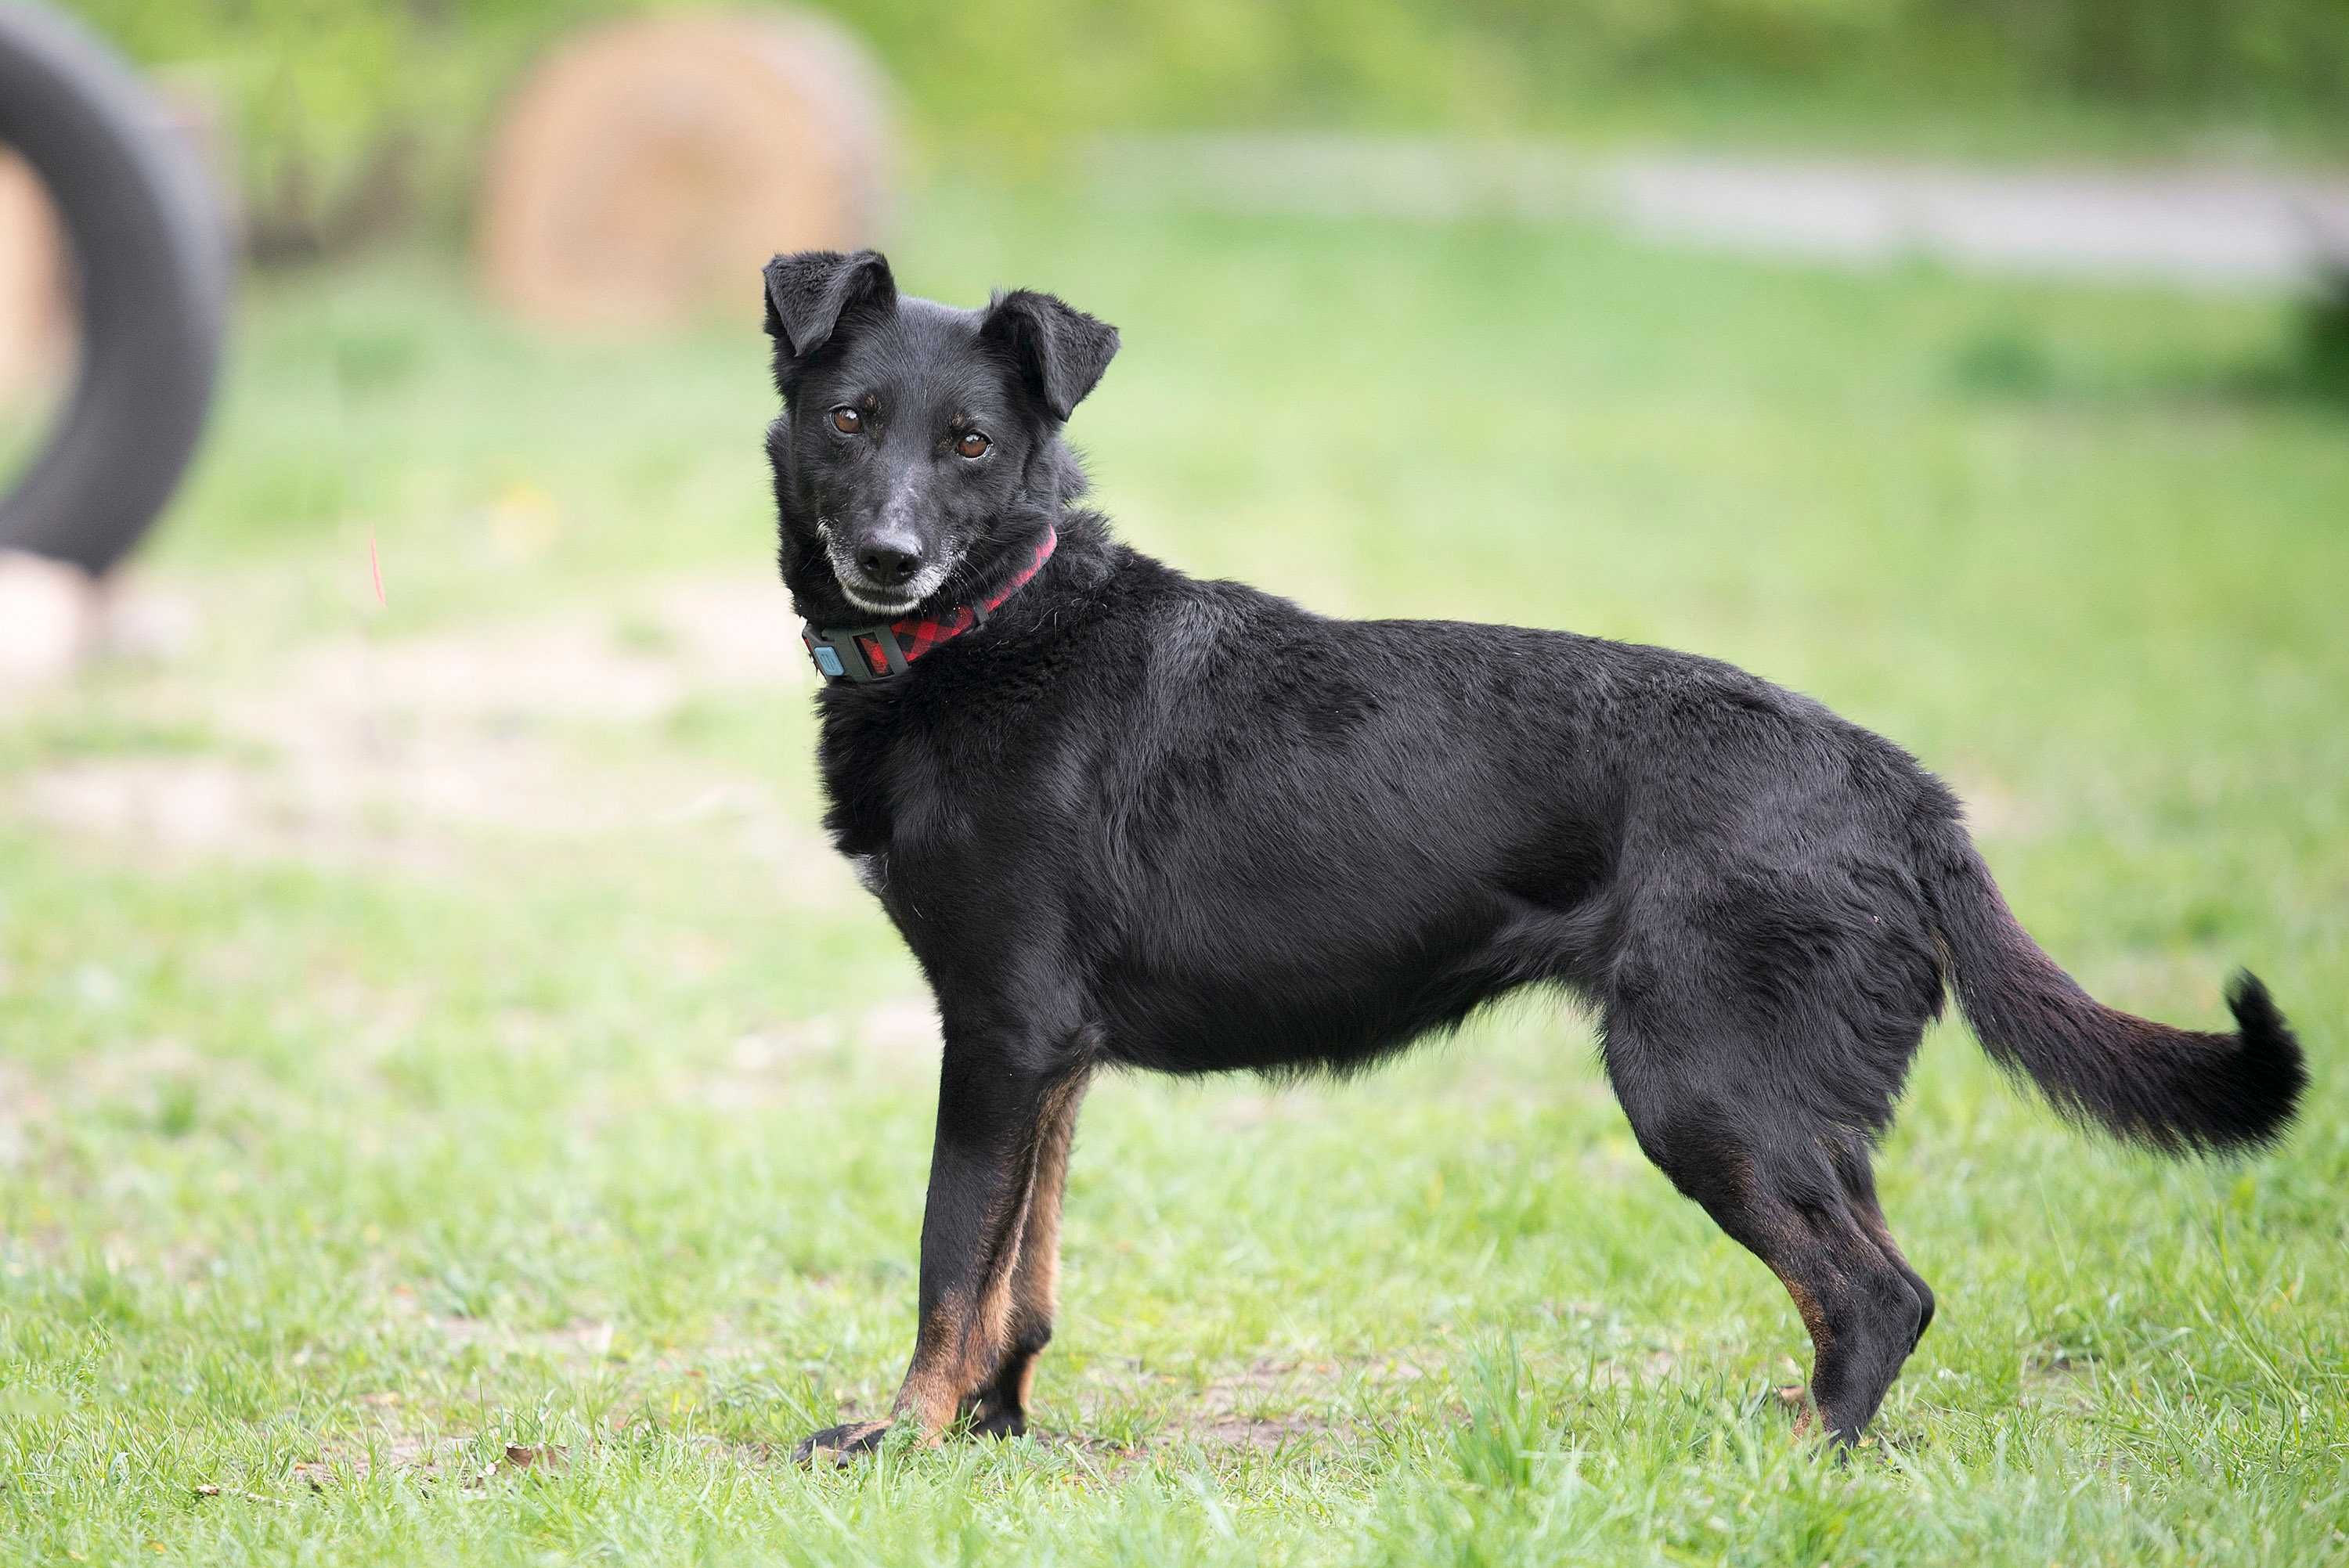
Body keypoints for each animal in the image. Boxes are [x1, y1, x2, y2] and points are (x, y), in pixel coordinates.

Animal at [761, 245, 2302, 1455]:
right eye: (850, 418)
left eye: (970, 442)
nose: (887, 558)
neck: (1000, 627)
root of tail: (1906, 793)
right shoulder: (1052, 1056)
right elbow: (1023, 1275)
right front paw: (992, 1430)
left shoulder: (1000, 1036)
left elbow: (949, 1263)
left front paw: (901, 1437)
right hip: (1799, 1108)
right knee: (1875, 1280)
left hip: (1700, 1091)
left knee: (1881, 1295)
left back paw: (1799, 1456)